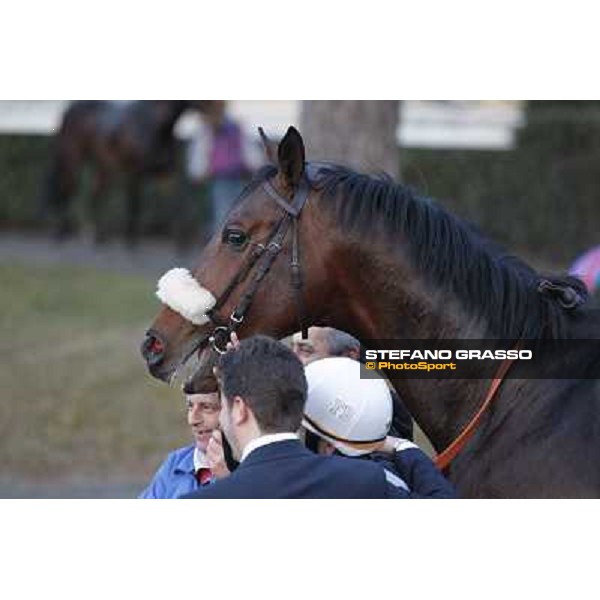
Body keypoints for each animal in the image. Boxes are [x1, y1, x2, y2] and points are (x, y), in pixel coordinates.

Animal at [42, 99, 216, 245]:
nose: (215, 110)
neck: (158, 126)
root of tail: (68, 110)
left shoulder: (167, 174)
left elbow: (180, 203)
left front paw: (181, 242)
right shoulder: (135, 173)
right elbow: (135, 206)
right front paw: (131, 241)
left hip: (104, 166)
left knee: (95, 194)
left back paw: (98, 236)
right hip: (72, 159)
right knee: (67, 189)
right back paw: (60, 232)